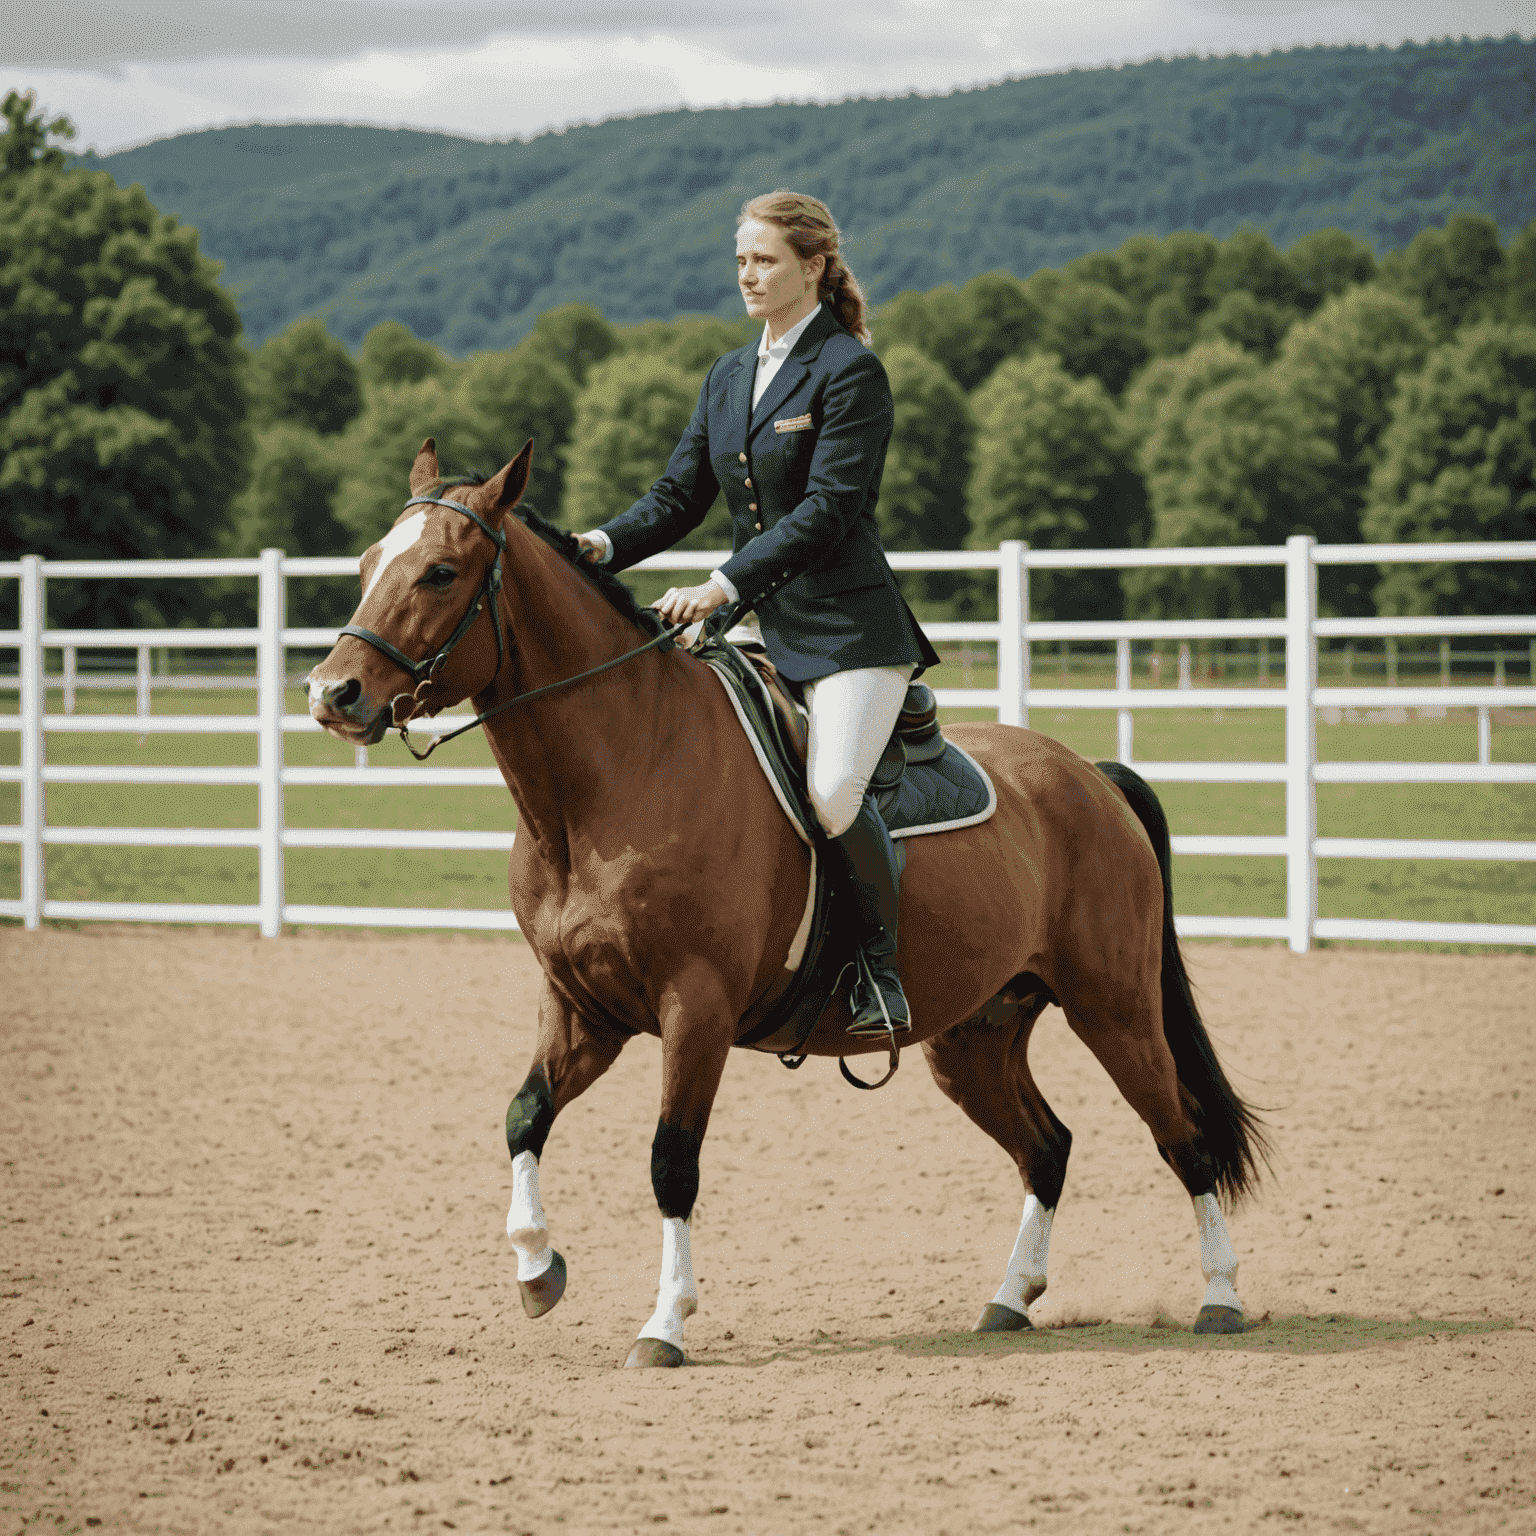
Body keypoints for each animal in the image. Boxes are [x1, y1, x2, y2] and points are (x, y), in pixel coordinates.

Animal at [305, 445, 1265, 1370]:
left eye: (439, 572)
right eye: (367, 563)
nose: (331, 694)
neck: (614, 778)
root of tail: (1087, 774)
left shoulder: (694, 1007)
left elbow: (671, 1162)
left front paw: (665, 1323)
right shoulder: (584, 1008)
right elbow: (523, 1117)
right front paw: (538, 1269)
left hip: (1115, 1010)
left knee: (1183, 1138)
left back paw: (1219, 1298)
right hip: (975, 1037)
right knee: (1049, 1147)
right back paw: (1010, 1299)